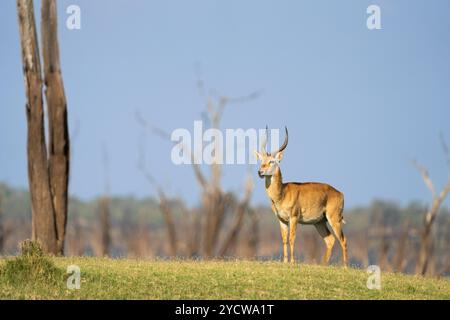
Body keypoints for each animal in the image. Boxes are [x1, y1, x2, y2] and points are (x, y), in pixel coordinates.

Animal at [255, 127, 346, 264]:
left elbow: (292, 238)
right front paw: (285, 262)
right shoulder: (281, 220)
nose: (260, 171)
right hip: (319, 222)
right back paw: (323, 265)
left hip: (334, 218)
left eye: (272, 161)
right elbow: (284, 239)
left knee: (343, 240)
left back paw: (345, 266)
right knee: (330, 240)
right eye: (261, 161)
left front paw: (292, 262)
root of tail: (340, 193)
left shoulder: (294, 218)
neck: (282, 193)